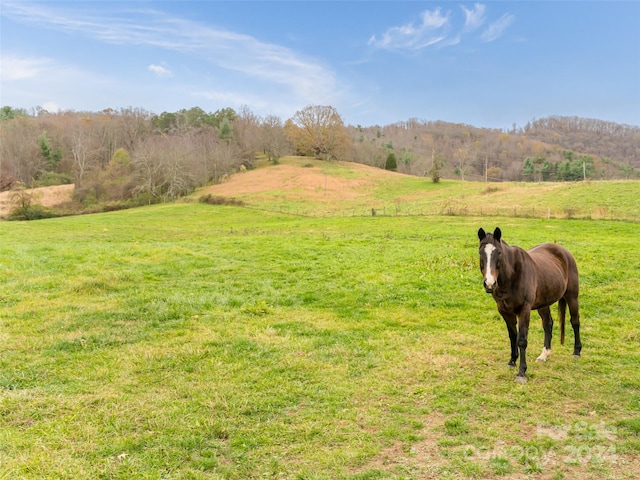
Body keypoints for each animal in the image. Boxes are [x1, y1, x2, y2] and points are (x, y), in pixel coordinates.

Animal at [478, 228, 584, 382]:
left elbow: (522, 340)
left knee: (575, 321)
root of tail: (564, 252)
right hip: (543, 303)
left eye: (499, 252)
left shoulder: (524, 310)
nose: (490, 284)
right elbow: (513, 336)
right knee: (548, 324)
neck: (512, 276)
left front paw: (521, 373)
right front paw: (512, 362)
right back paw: (544, 355)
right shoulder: (504, 311)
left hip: (572, 297)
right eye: (481, 253)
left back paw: (576, 352)